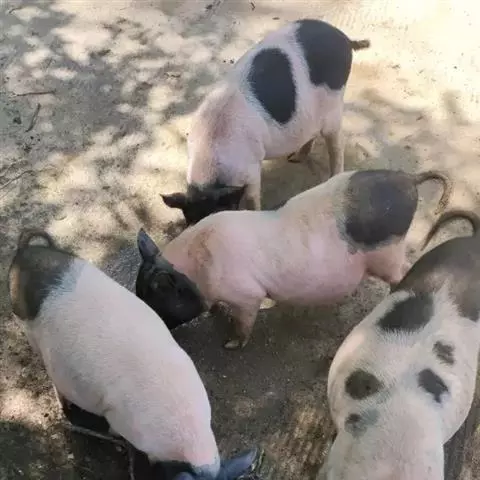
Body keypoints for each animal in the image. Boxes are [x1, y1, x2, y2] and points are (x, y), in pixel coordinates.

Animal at [137, 168, 452, 349]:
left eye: (154, 300)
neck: (197, 272)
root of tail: (409, 179)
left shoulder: (247, 295)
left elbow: (244, 321)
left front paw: (230, 344)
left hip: (387, 253)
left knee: (403, 272)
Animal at [161, 19, 371, 225]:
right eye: (190, 220)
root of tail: (345, 39)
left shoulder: (252, 169)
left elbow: (252, 198)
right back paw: (295, 158)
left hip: (334, 109)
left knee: (337, 145)